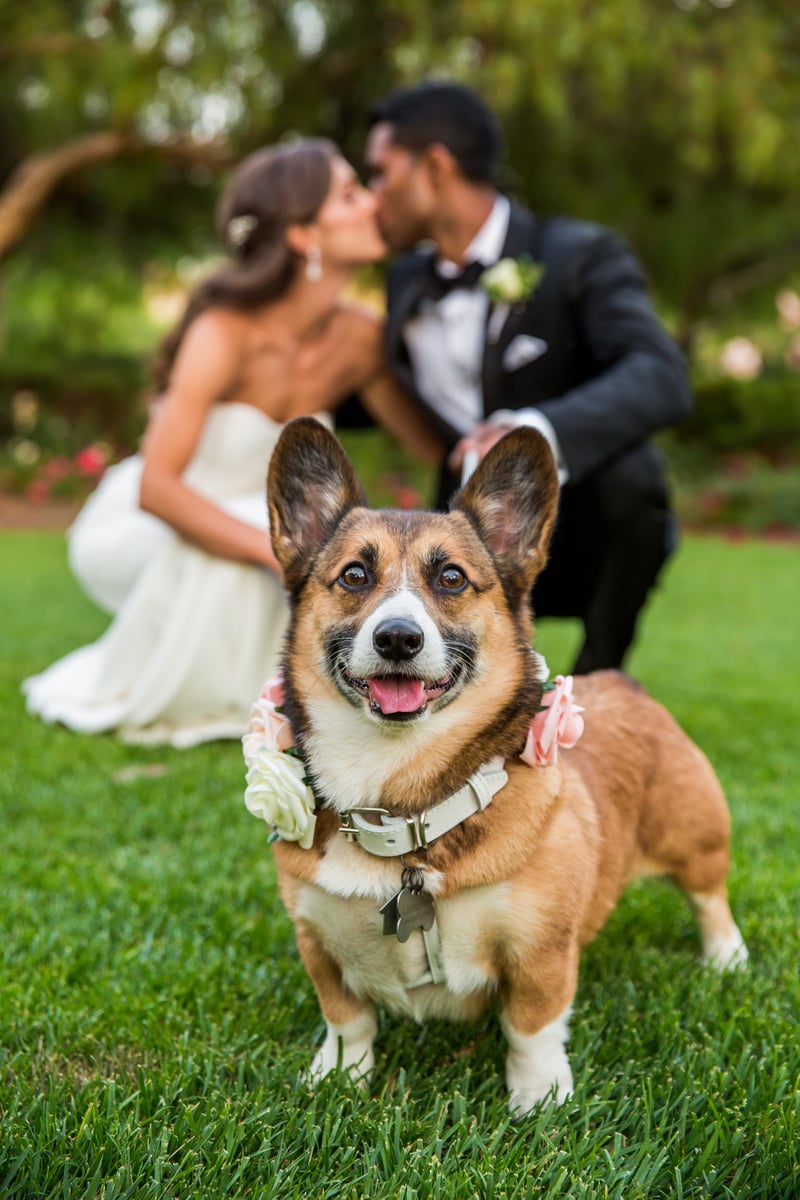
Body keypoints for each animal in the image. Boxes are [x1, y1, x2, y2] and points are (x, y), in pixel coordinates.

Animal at [256, 417, 747, 1114]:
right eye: (353, 576)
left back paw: (727, 958)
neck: (403, 808)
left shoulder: (540, 950)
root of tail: (622, 681)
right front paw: (339, 1077)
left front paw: (539, 1100)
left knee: (710, 897)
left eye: (452, 579)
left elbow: (530, 1027)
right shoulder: (318, 942)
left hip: (695, 834)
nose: (398, 638)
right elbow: (347, 1020)